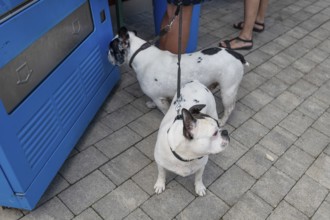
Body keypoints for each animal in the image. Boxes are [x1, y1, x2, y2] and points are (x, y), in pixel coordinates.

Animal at [108, 26, 248, 126]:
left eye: (111, 50)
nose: (107, 56)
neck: (140, 55)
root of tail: (237, 55)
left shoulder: (159, 99)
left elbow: (163, 111)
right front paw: (151, 104)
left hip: (228, 91)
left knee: (229, 108)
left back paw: (223, 121)